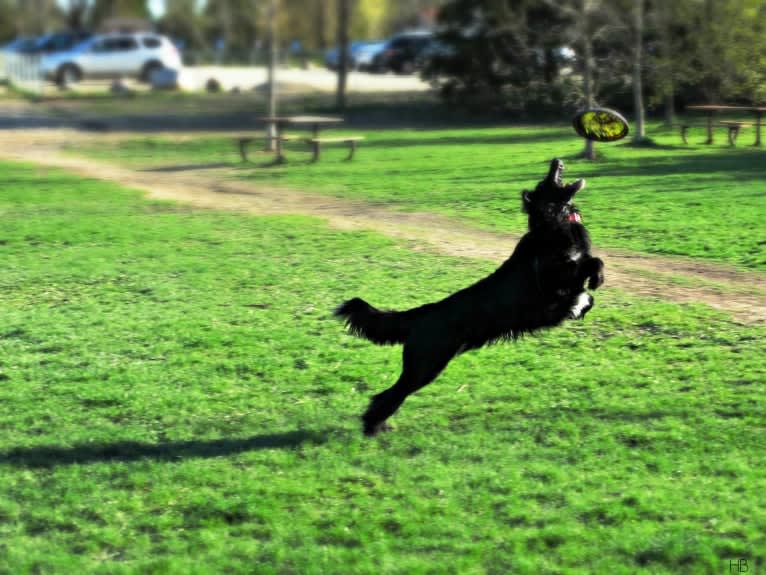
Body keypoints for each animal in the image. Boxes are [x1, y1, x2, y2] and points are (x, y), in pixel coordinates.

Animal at [336, 159, 608, 436]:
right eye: (545, 182)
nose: (556, 161)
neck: (552, 223)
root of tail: (422, 314)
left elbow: (589, 282)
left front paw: (585, 302)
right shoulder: (553, 283)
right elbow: (590, 264)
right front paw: (594, 281)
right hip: (425, 366)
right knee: (387, 395)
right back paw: (372, 428)